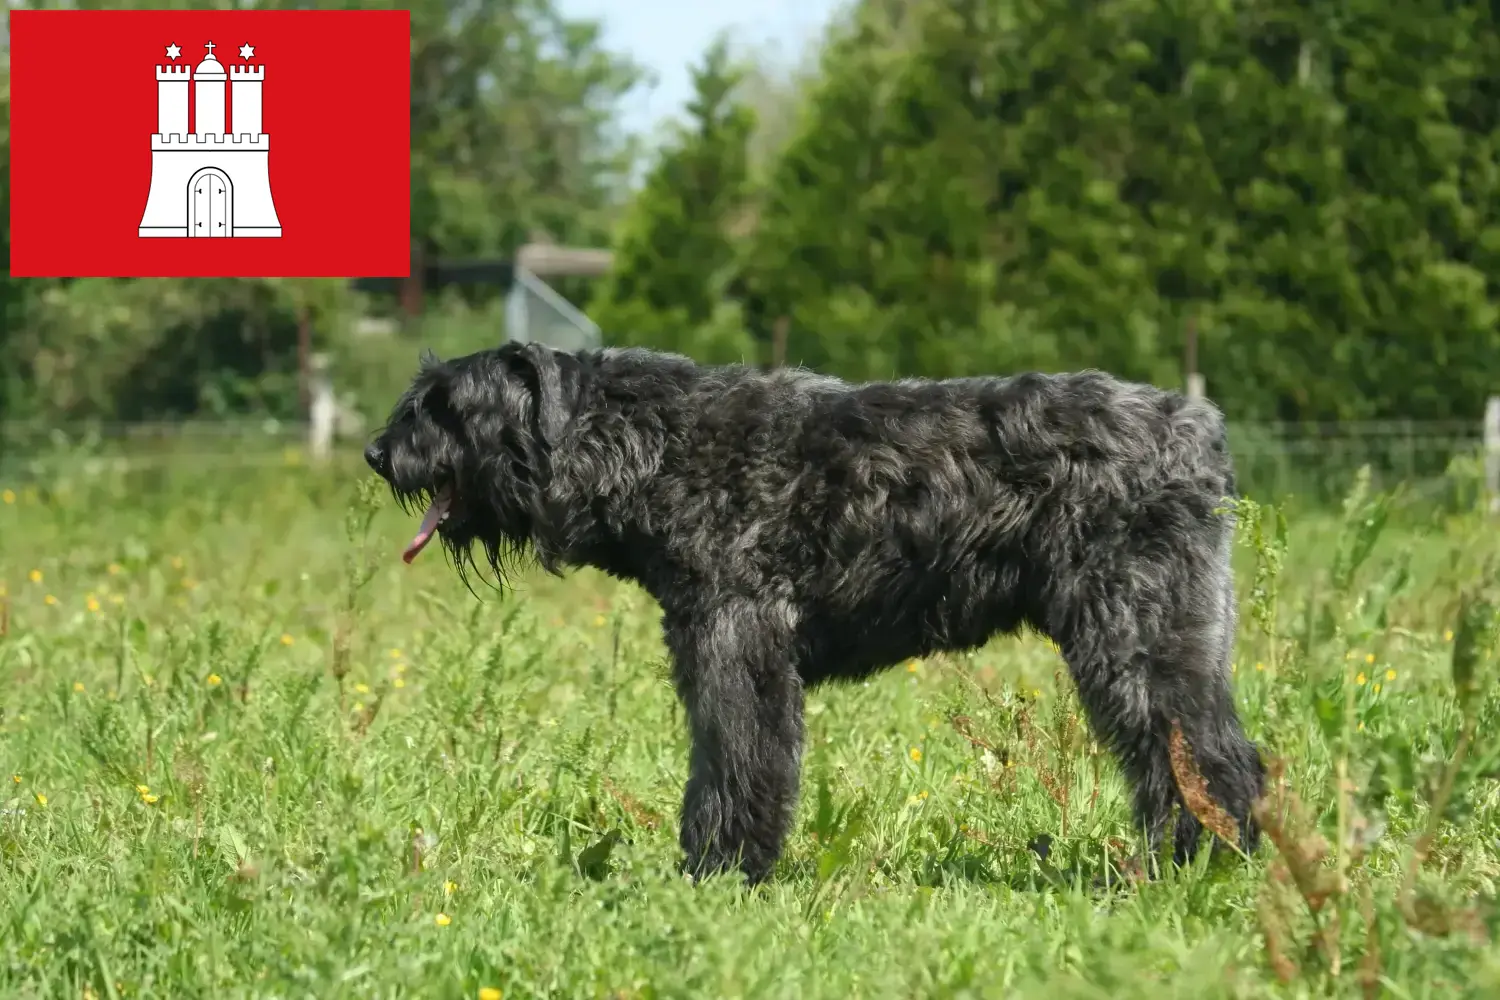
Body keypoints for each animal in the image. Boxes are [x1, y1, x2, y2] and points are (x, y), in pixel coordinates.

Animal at [366, 341, 1266, 881]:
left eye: (446, 405)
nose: (378, 452)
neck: (650, 448)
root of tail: (1201, 430)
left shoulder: (736, 643)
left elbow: (736, 761)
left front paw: (720, 871)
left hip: (1139, 640)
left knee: (1206, 759)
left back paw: (1206, 862)